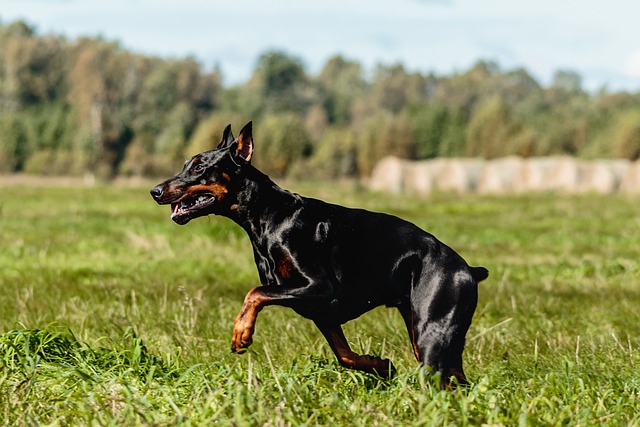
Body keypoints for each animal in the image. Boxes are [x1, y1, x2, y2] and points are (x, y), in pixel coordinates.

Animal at [151, 122, 490, 390]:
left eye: (199, 167)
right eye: (186, 164)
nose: (155, 191)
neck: (269, 216)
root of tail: (467, 270)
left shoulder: (319, 288)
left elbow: (255, 292)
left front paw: (241, 333)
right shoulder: (323, 312)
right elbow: (346, 356)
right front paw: (381, 365)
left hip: (431, 330)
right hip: (429, 331)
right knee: (458, 380)